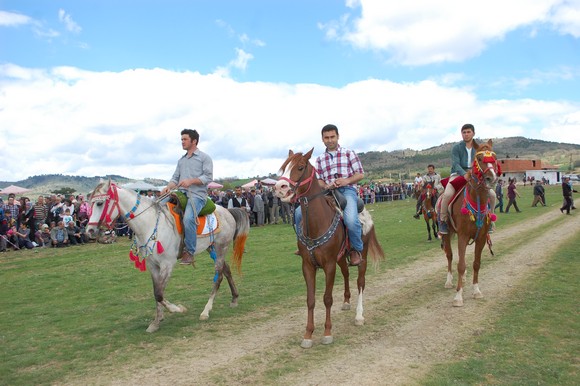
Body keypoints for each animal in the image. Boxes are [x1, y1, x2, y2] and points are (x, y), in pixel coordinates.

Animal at [86, 179, 249, 334]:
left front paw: (178, 309)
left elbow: (159, 293)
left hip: (221, 248)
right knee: (226, 270)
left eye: (100, 203)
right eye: (90, 203)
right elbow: (156, 291)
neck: (149, 224)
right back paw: (234, 298)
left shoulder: (167, 264)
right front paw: (157, 321)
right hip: (212, 248)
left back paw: (206, 311)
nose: (89, 231)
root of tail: (228, 212)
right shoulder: (153, 265)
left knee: (219, 276)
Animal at [274, 149, 386, 348]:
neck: (316, 224)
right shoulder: (308, 266)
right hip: (341, 259)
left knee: (361, 282)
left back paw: (359, 316)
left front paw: (327, 333)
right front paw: (308, 335)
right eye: (284, 167)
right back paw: (347, 301)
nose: (280, 188)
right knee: (347, 274)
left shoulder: (329, 265)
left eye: (300, 167)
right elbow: (310, 300)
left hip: (362, 256)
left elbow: (327, 298)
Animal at [438, 140, 500, 306]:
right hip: (447, 234)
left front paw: (476, 291)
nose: (491, 178)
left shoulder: (481, 238)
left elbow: (476, 264)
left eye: (494, 158)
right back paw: (448, 281)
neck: (476, 199)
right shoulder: (462, 235)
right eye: (479, 159)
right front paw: (458, 296)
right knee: (450, 256)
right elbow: (460, 264)